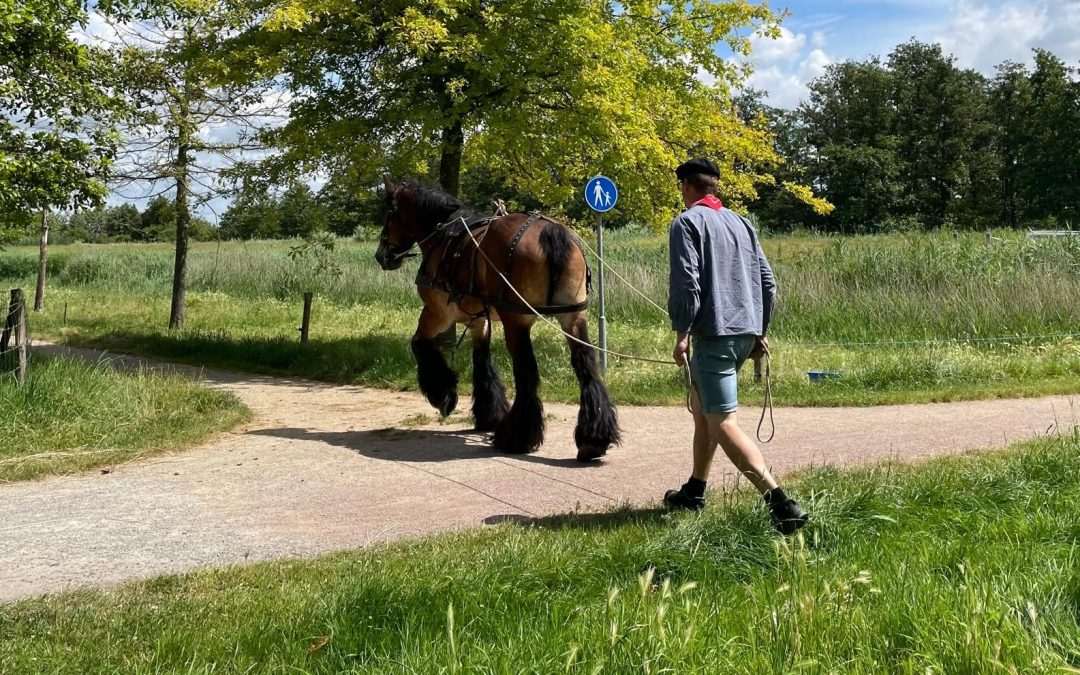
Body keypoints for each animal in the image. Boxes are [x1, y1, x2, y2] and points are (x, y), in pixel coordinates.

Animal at [375, 179, 622, 460]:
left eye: (390, 213)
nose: (381, 255)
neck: (444, 235)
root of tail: (550, 232)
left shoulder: (438, 313)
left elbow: (419, 343)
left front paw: (444, 395)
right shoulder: (478, 319)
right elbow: (482, 360)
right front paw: (488, 414)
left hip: (516, 320)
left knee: (527, 372)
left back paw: (516, 437)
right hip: (573, 317)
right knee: (586, 366)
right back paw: (593, 439)